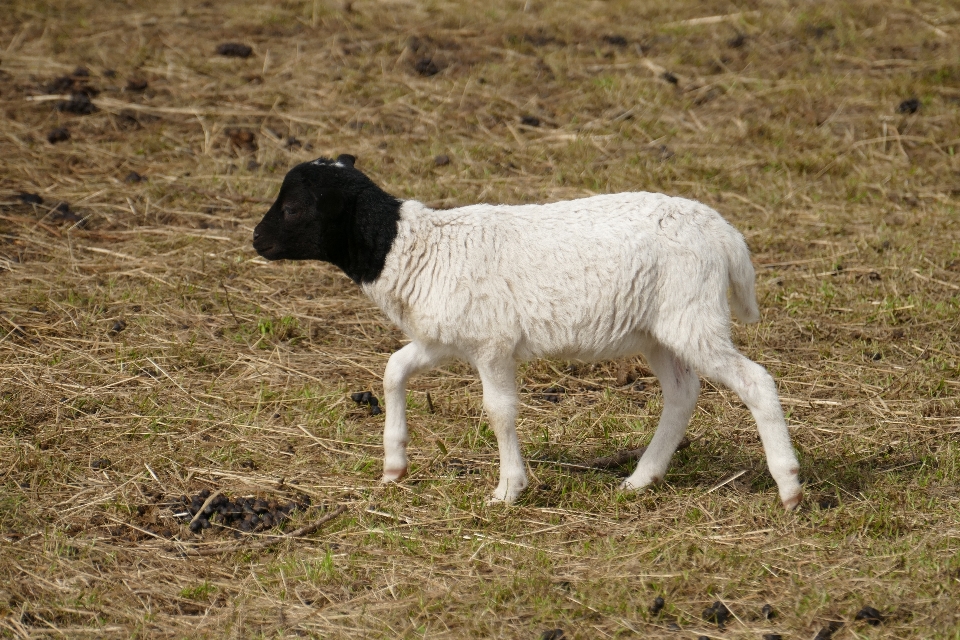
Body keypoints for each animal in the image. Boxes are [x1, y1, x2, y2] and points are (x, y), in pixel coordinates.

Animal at [253, 155, 804, 510]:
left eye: (294, 207)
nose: (256, 239)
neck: (411, 249)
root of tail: (725, 235)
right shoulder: (446, 339)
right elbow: (393, 370)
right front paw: (394, 464)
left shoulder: (492, 344)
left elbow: (499, 411)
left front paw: (508, 490)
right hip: (661, 330)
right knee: (683, 394)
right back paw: (641, 479)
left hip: (693, 317)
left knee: (756, 382)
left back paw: (789, 487)